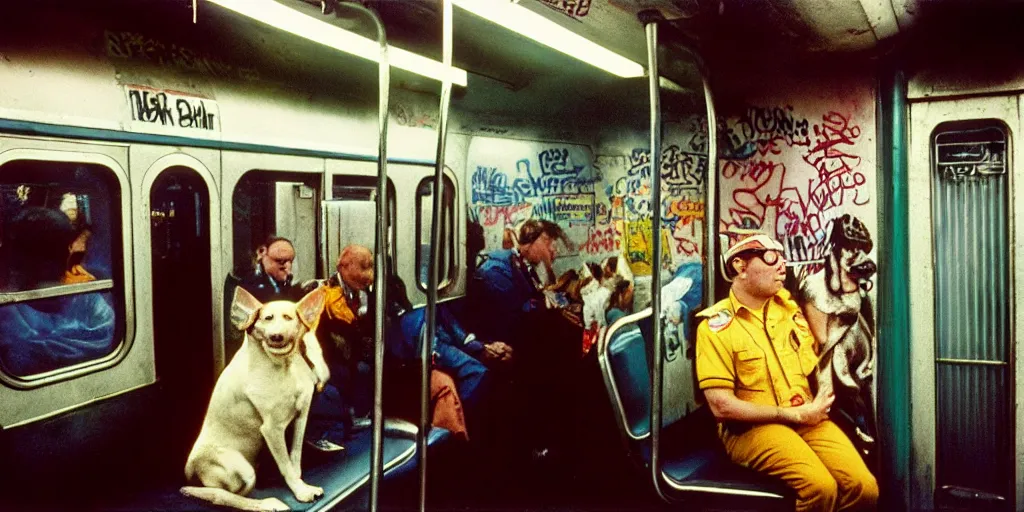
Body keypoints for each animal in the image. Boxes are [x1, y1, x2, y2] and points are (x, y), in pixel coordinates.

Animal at [181, 288, 327, 512]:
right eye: (267, 318)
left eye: (288, 317)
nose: (276, 336)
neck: (284, 366)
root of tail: (189, 471)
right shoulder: (271, 429)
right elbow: (285, 464)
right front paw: (301, 491)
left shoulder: (301, 415)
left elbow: (294, 456)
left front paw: (300, 482)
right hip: (243, 470)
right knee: (224, 495)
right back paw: (268, 503)